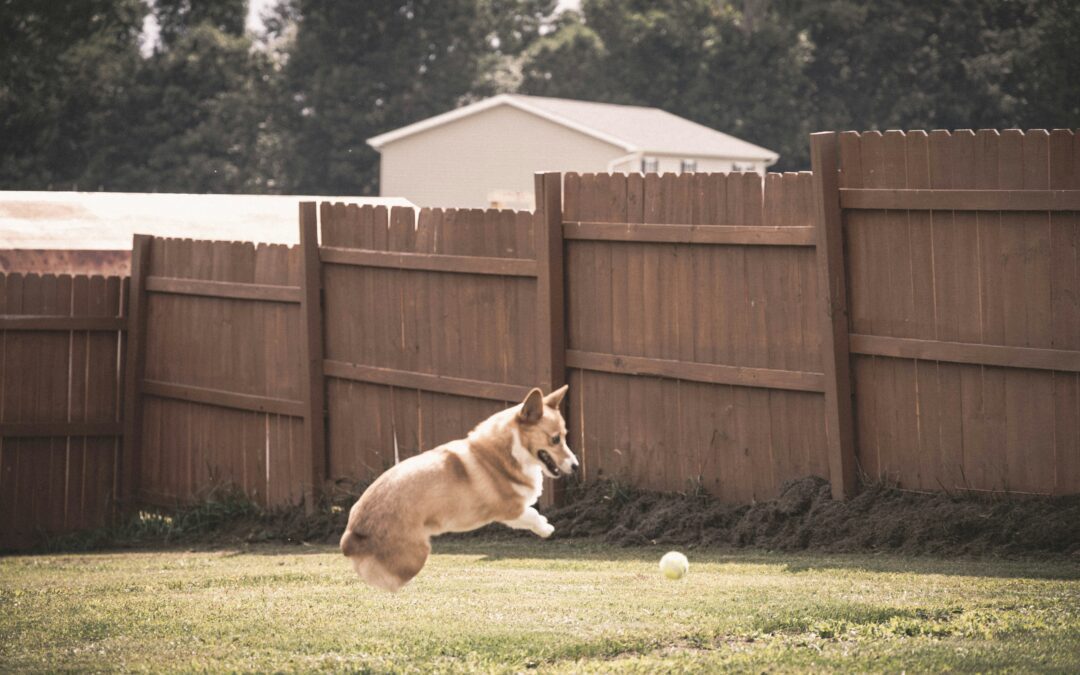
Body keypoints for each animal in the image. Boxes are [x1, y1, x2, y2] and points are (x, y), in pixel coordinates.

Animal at [339, 384, 578, 587]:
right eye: (555, 439)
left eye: (565, 436)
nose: (576, 466)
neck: (512, 449)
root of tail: (350, 533)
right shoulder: (510, 509)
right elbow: (532, 516)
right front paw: (547, 528)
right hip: (416, 554)